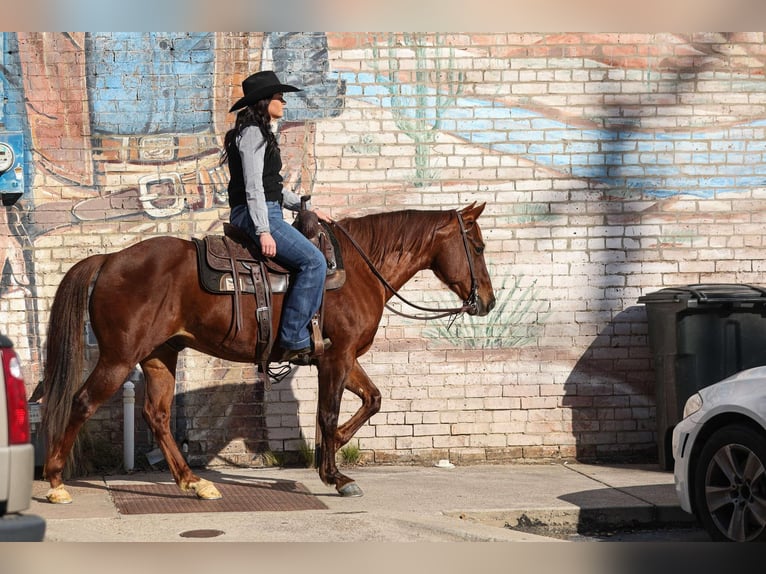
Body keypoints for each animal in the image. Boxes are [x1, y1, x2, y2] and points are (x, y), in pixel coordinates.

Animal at [42, 202, 496, 504]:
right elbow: (328, 413)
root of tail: (109, 258)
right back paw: (56, 482)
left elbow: (372, 399)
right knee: (82, 402)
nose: (488, 302)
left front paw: (332, 451)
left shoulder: (343, 358)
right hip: (118, 358)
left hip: (159, 356)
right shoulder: (337, 358)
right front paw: (334, 474)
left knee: (157, 416)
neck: (358, 269)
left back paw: (193, 482)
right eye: (476, 246)